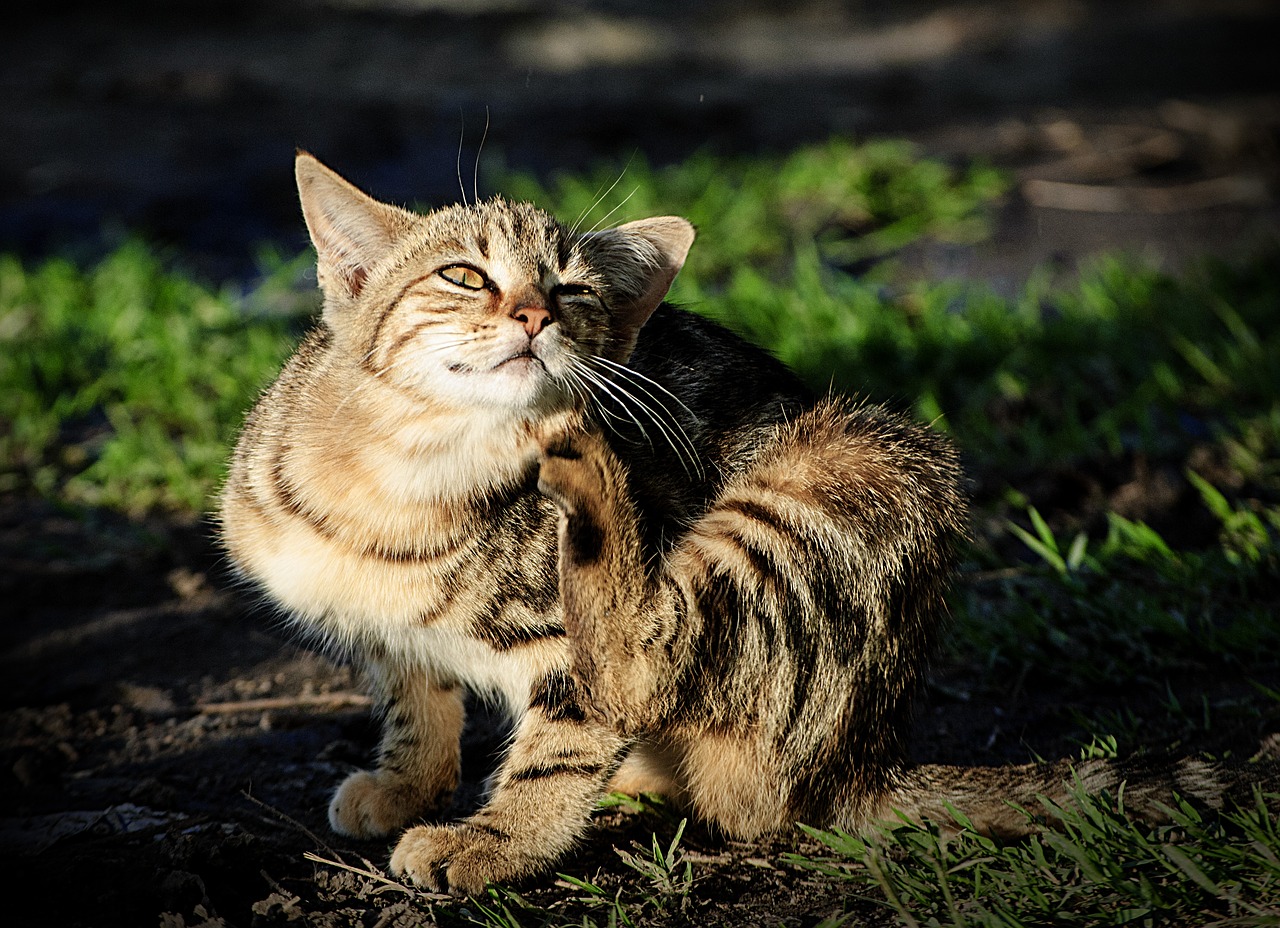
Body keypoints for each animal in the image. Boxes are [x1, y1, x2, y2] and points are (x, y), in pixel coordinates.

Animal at [220, 155, 1259, 896]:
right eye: (465, 275)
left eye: (574, 291)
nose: (533, 316)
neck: (401, 477)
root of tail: (865, 755)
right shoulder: (374, 625)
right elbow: (410, 683)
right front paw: (407, 779)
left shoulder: (563, 653)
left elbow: (569, 733)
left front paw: (498, 841)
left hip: (846, 469)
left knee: (649, 657)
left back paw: (593, 485)